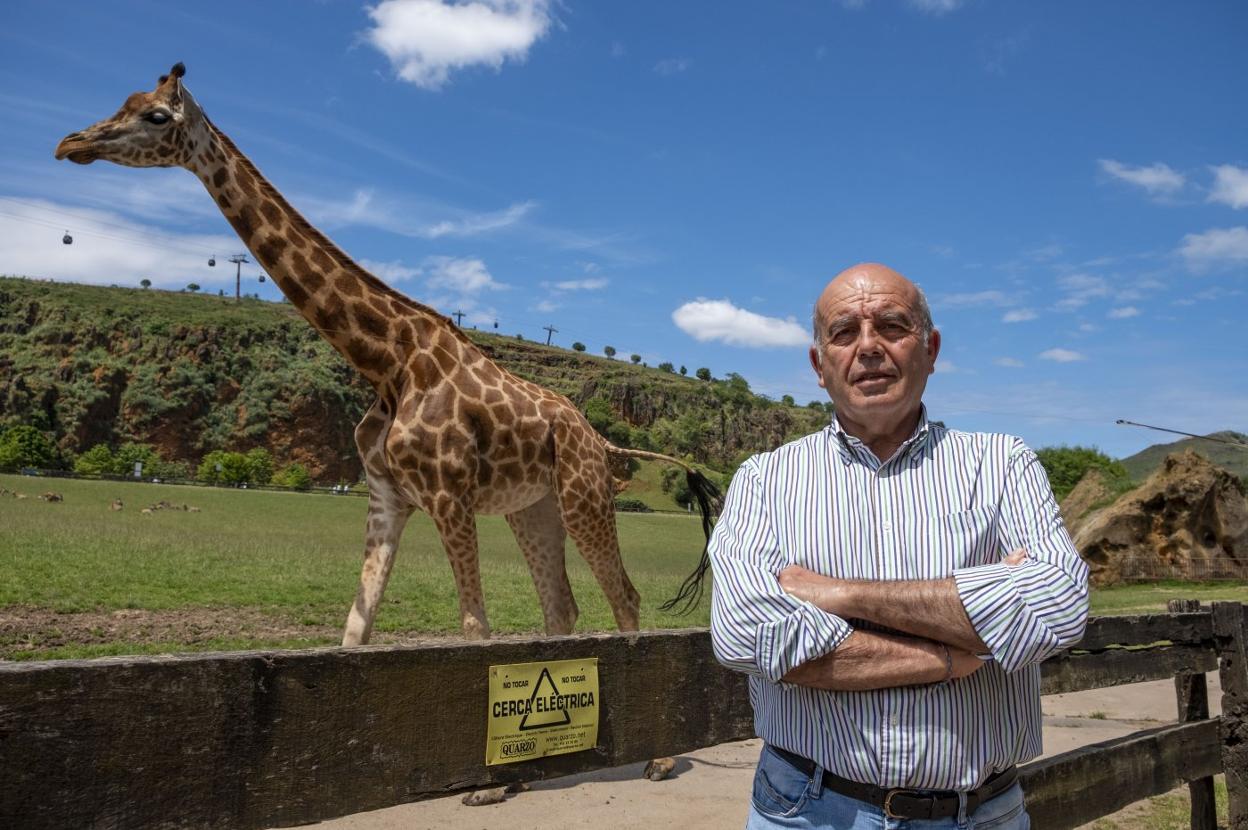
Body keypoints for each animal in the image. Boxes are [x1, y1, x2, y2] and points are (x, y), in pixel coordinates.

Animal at [56, 63, 723, 649]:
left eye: (156, 115)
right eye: (123, 101)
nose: (70, 142)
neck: (385, 361)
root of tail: (601, 439)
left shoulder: (449, 496)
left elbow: (474, 626)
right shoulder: (386, 496)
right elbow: (356, 628)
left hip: (584, 495)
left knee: (624, 596)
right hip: (533, 507)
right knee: (561, 604)